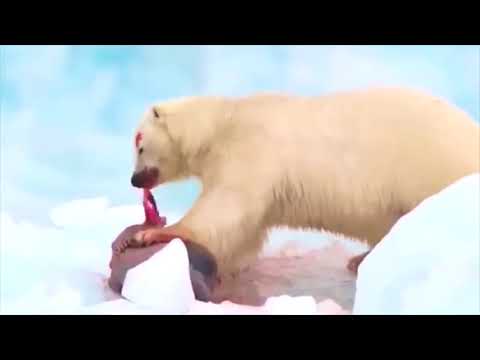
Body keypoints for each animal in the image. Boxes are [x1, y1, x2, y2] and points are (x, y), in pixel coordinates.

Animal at [124, 88, 480, 278]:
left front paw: (149, 234)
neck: (223, 123)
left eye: (139, 145)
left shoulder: (250, 149)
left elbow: (225, 207)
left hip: (431, 166)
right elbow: (246, 232)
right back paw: (361, 258)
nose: (134, 179)